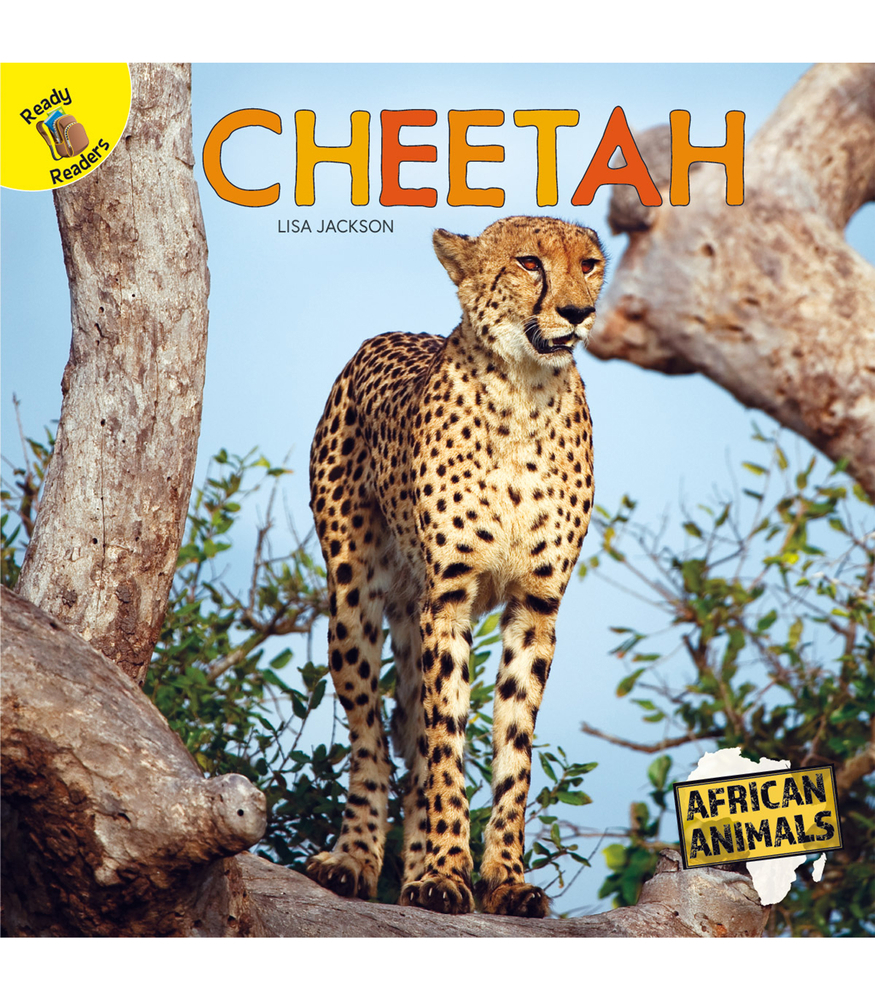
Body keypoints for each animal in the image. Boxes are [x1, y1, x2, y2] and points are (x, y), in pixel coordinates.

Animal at [305, 215, 606, 917]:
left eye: (590, 263)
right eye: (529, 263)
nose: (577, 311)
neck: (526, 392)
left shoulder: (535, 607)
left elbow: (511, 748)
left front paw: (504, 879)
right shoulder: (448, 599)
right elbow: (445, 740)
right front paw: (446, 874)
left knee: (412, 734)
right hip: (353, 602)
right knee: (372, 740)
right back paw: (356, 861)